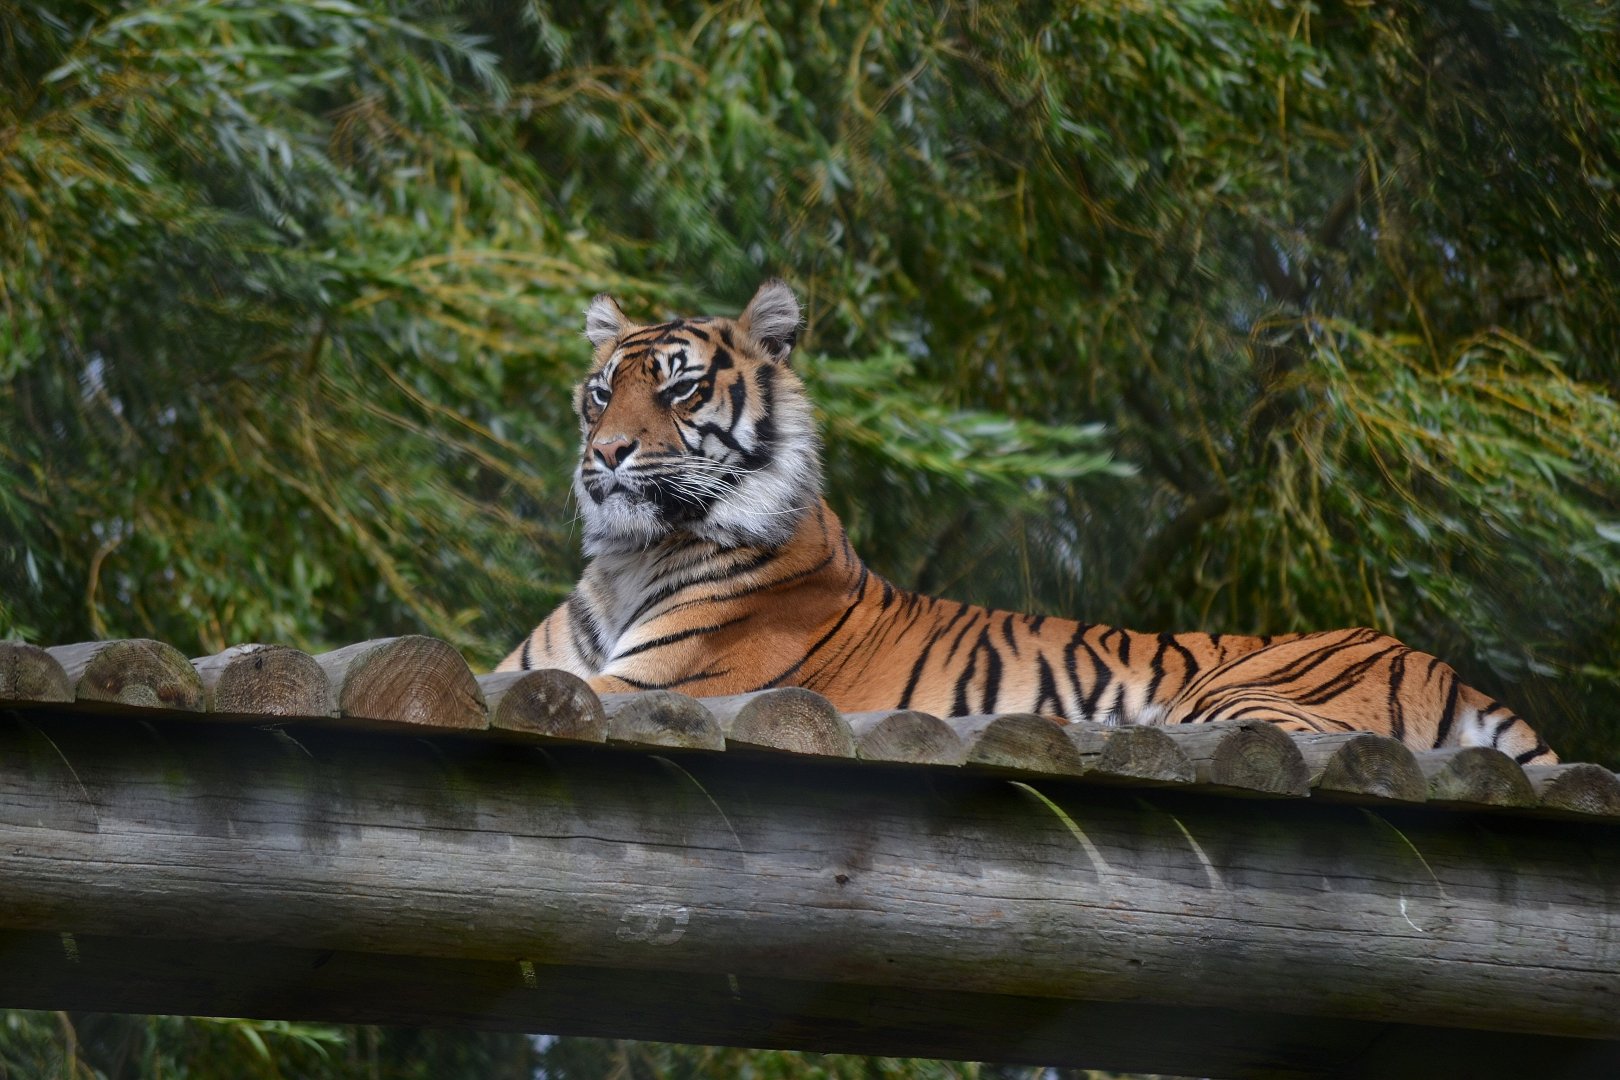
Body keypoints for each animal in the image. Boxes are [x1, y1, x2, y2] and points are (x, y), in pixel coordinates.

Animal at [498, 280, 1558, 765]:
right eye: (603, 394)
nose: (607, 455)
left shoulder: (655, 684)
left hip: (1240, 703)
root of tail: (1441, 666)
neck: (629, 560)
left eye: (679, 390)